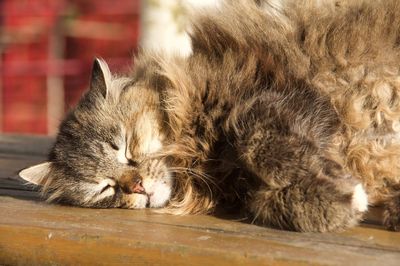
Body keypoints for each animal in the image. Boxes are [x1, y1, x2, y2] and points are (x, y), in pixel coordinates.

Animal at [18, 0, 400, 232]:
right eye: (105, 188)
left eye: (126, 149)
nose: (137, 187)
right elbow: (267, 202)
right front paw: (335, 203)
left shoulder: (277, 97)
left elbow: (260, 142)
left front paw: (346, 196)